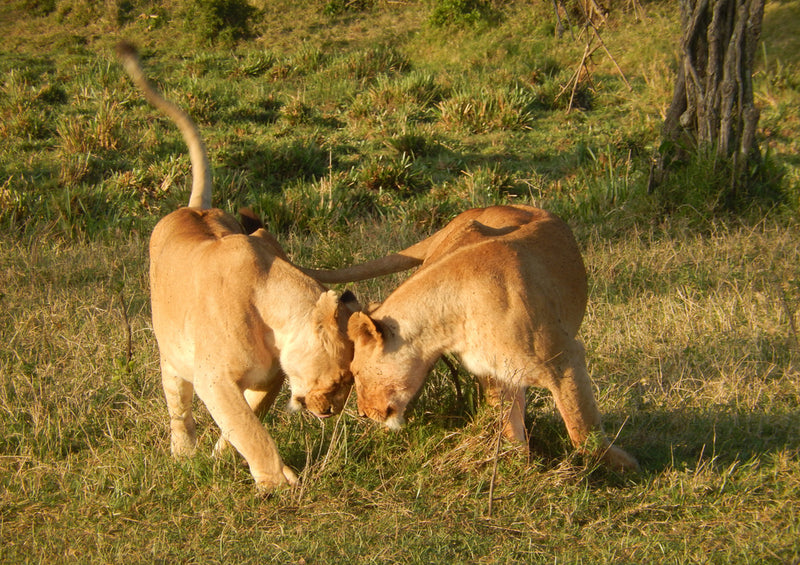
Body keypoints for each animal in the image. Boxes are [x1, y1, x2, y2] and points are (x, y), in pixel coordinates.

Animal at [116, 41, 360, 486]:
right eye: (340, 378)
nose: (329, 412)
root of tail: (192, 208)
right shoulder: (213, 378)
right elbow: (249, 429)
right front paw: (276, 483)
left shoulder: (271, 377)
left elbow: (246, 419)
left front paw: (224, 458)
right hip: (172, 357)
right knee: (178, 408)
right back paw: (183, 455)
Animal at [322, 205, 640, 470]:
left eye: (356, 373)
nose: (363, 414)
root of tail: (471, 211)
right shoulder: (495, 371)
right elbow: (508, 422)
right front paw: (518, 468)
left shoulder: (564, 360)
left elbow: (582, 427)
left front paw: (622, 468)